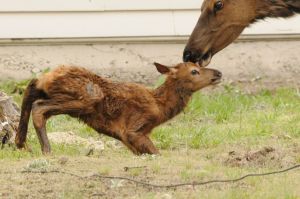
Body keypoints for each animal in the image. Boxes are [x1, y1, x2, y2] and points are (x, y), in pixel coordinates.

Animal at [15, 62, 221, 155]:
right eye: (194, 71)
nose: (218, 73)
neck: (160, 107)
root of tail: (51, 75)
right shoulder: (134, 128)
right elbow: (156, 151)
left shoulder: (126, 138)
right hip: (88, 96)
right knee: (39, 107)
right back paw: (46, 149)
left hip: (50, 89)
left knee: (31, 88)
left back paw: (21, 143)